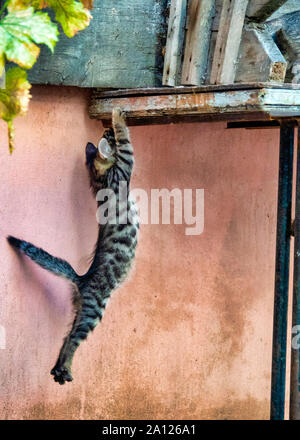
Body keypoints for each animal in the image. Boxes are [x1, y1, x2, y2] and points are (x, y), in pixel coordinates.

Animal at [6, 108, 138, 384]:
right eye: (107, 135)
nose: (104, 130)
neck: (100, 180)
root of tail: (82, 279)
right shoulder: (126, 164)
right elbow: (126, 139)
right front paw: (117, 114)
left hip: (81, 311)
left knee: (67, 337)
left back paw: (60, 371)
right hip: (95, 310)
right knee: (74, 340)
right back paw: (63, 369)